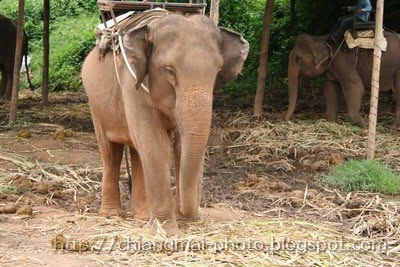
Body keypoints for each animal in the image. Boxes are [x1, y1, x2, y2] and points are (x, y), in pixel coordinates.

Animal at [81, 13, 248, 237]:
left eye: (217, 70)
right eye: (169, 70)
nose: (185, 213)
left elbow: (176, 145)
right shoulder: (131, 83)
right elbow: (155, 143)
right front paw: (167, 233)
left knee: (137, 152)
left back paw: (142, 216)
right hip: (95, 105)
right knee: (111, 152)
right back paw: (111, 215)